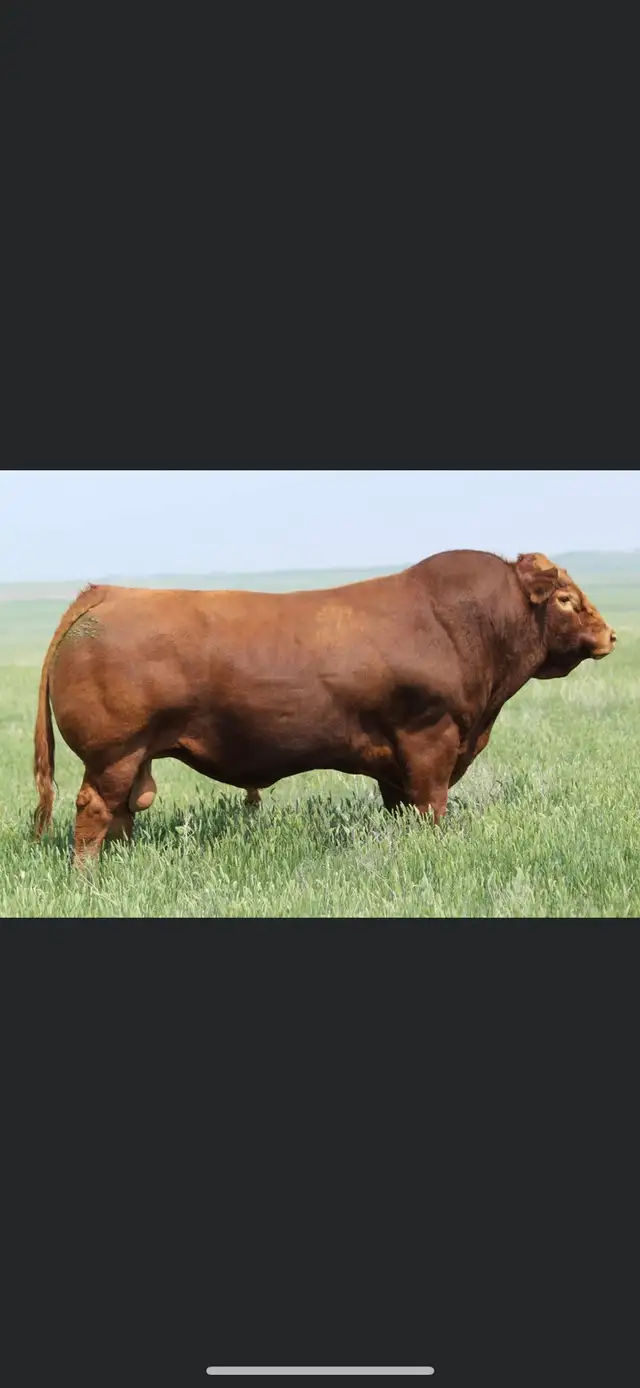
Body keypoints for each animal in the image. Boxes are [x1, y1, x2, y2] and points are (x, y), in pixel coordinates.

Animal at [33, 550, 616, 864]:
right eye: (566, 600)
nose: (611, 635)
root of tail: (107, 592)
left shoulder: (395, 761)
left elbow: (401, 806)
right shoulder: (430, 737)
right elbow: (431, 805)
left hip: (131, 757)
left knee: (124, 813)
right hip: (115, 752)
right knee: (95, 809)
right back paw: (90, 877)